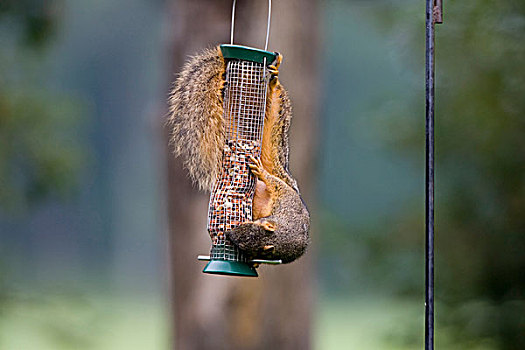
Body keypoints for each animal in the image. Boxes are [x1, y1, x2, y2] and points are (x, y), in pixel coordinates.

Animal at [168, 45, 310, 262]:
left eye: (244, 241)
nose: (229, 234)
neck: (286, 230)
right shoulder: (285, 197)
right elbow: (274, 183)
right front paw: (261, 171)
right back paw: (272, 80)